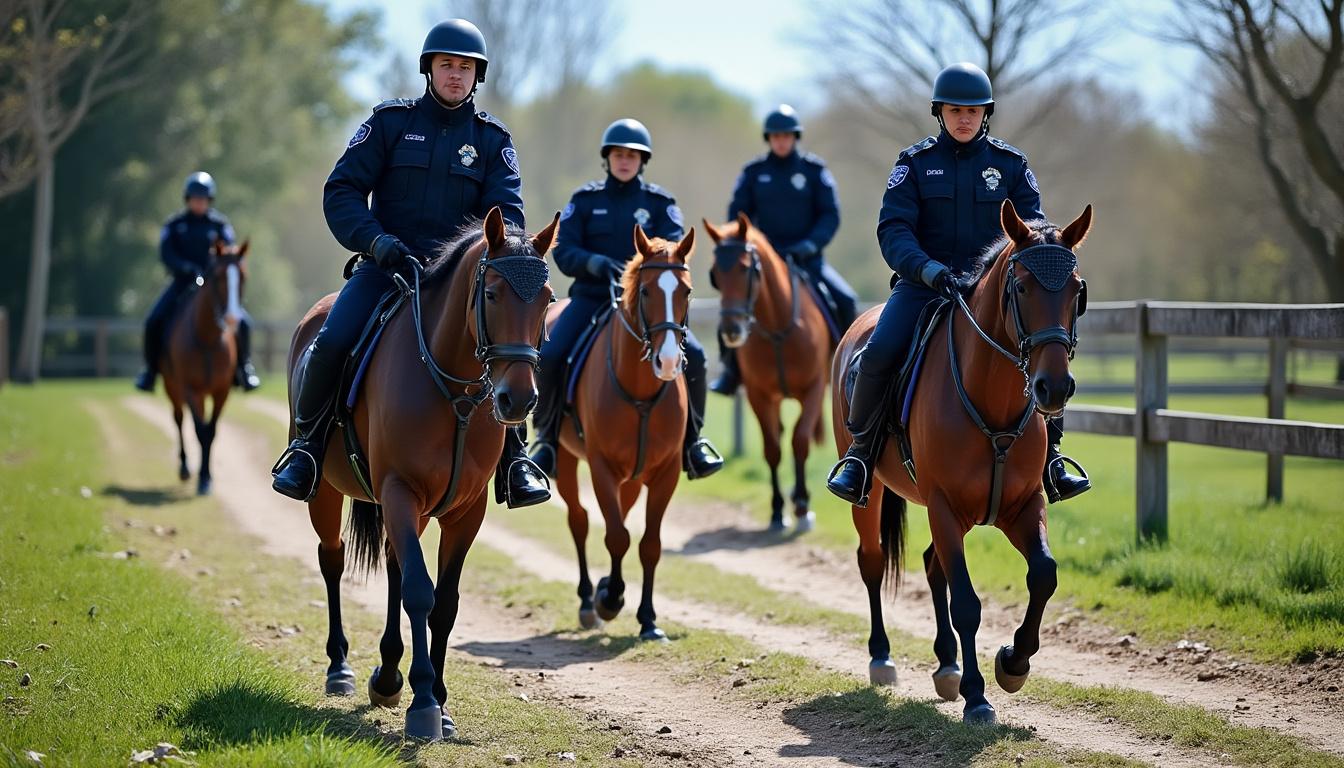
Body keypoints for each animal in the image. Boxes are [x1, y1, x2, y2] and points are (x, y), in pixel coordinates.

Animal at [160, 238, 249, 496]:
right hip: (172, 387)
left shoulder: (222, 392)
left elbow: (211, 431)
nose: (232, 318)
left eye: (243, 276)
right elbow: (200, 430)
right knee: (179, 419)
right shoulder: (193, 391)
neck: (209, 340)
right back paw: (184, 468)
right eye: (218, 276)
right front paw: (201, 477)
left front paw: (207, 477)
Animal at [290, 208, 557, 741]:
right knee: (333, 560)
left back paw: (388, 674)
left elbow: (445, 603)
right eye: (491, 294)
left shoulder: (465, 511)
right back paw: (342, 668)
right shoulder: (398, 492)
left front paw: (438, 700)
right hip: (326, 493)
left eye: (547, 300)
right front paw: (424, 704)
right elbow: (419, 591)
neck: (453, 393)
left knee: (394, 563)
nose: (518, 400)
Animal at [552, 226, 696, 641]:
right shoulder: (602, 468)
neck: (641, 392)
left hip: (633, 476)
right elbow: (616, 536)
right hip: (566, 460)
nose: (668, 362)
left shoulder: (664, 474)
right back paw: (589, 600)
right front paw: (609, 597)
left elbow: (649, 544)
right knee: (580, 520)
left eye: (686, 291)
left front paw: (648, 619)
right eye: (646, 291)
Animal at [704, 214, 831, 532]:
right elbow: (772, 448)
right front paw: (777, 510)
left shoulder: (814, 389)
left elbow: (800, 440)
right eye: (715, 274)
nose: (731, 331)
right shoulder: (758, 395)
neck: (777, 329)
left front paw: (802, 507)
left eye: (745, 268)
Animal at [831, 200, 1091, 724]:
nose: (1053, 387)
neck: (992, 400)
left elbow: (1044, 575)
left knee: (933, 567)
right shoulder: (945, 508)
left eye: (1077, 290)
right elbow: (967, 604)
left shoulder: (1023, 505)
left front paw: (1013, 663)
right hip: (874, 498)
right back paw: (882, 657)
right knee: (873, 563)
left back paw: (947, 665)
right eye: (1021, 286)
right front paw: (977, 696)